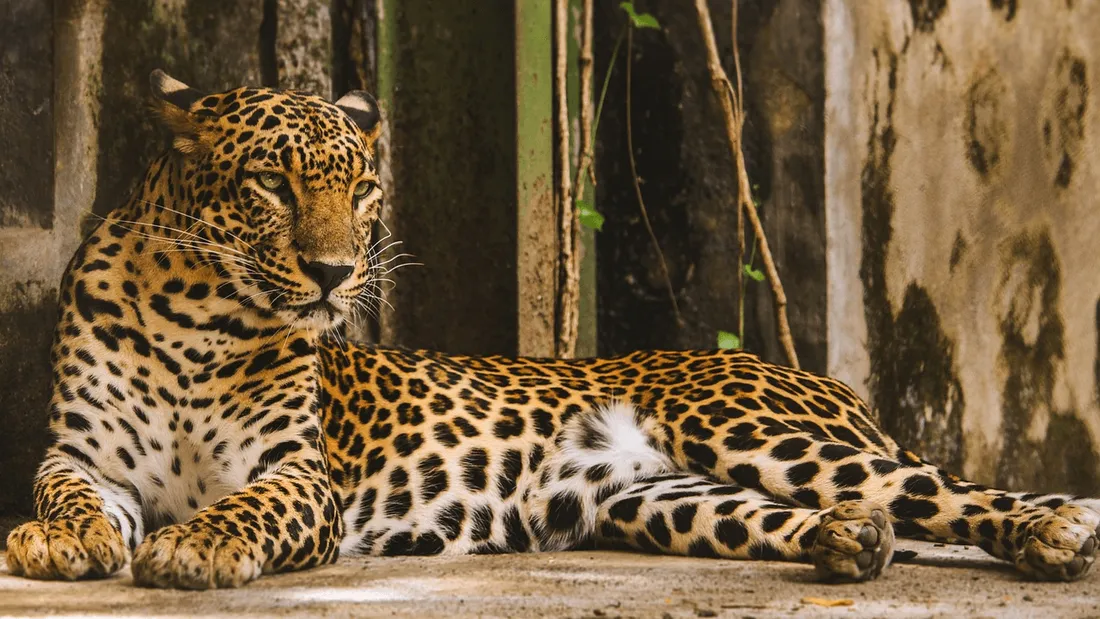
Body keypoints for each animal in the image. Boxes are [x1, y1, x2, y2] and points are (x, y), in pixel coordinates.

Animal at [8, 70, 1100, 589]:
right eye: (272, 183)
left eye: (361, 191)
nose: (334, 272)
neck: (195, 318)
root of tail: (833, 385)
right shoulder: (82, 455)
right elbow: (65, 493)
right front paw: (55, 539)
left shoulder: (296, 475)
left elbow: (242, 509)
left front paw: (193, 547)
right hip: (656, 500)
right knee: (838, 515)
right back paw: (849, 540)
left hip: (749, 429)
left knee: (955, 492)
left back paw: (1053, 530)